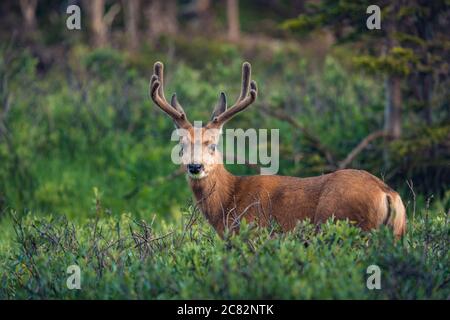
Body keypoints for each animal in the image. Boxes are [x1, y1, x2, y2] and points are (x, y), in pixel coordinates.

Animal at [149, 60, 406, 238]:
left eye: (212, 145)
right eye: (181, 145)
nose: (195, 166)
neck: (229, 201)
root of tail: (388, 194)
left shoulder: (253, 235)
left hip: (345, 226)